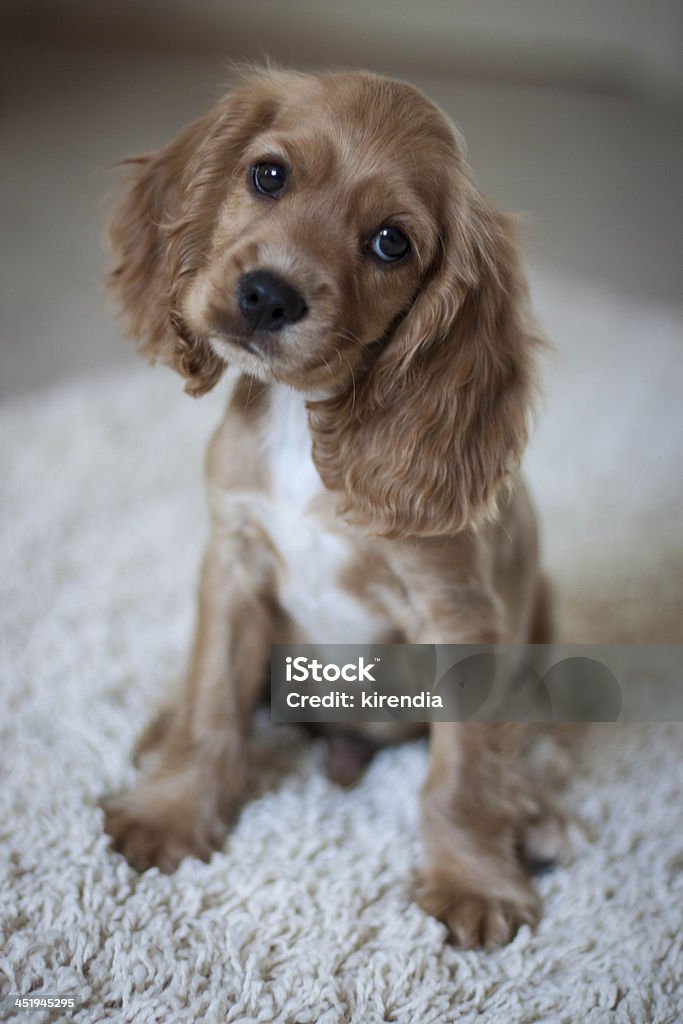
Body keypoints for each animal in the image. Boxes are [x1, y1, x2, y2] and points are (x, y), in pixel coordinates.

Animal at [101, 68, 565, 950]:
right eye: (268, 175)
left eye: (391, 243)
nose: (265, 296)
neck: (301, 421)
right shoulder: (234, 562)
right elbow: (212, 701)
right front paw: (174, 811)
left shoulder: (458, 611)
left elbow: (459, 773)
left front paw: (472, 879)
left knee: (522, 742)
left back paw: (534, 814)